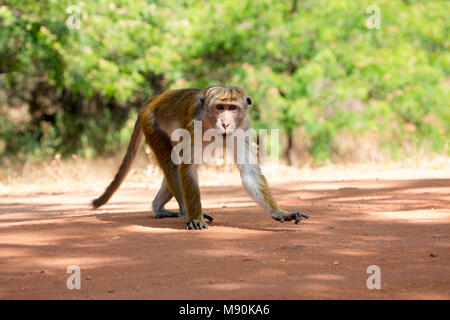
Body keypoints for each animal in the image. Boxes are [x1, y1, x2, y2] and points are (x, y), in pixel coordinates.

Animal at [92, 85, 310, 230]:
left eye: (232, 108)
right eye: (220, 107)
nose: (225, 123)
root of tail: (158, 98)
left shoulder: (241, 130)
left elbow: (249, 173)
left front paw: (279, 213)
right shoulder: (194, 126)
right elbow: (187, 169)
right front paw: (195, 217)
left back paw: (159, 208)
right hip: (151, 124)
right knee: (174, 166)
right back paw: (184, 212)